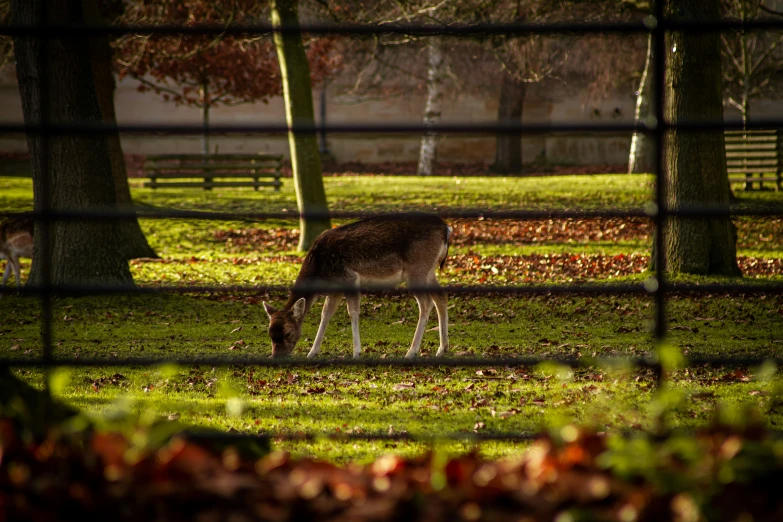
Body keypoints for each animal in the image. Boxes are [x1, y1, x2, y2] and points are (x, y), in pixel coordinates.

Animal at [264, 214, 450, 358]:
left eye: (287, 333)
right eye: (270, 333)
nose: (276, 356)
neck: (319, 269)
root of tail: (447, 229)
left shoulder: (349, 278)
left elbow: (352, 312)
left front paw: (356, 352)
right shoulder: (335, 290)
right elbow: (326, 314)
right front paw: (312, 353)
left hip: (416, 270)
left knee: (426, 303)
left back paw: (411, 352)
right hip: (429, 271)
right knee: (441, 297)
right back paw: (442, 349)